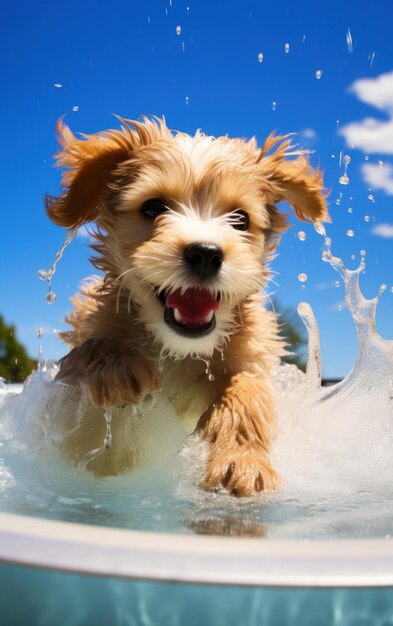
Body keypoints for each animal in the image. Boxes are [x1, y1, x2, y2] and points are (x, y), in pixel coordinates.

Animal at [46, 117, 328, 494]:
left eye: (240, 219)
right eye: (152, 208)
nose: (206, 253)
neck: (179, 349)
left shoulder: (250, 350)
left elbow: (246, 387)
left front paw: (243, 460)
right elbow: (92, 348)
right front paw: (117, 366)